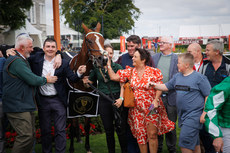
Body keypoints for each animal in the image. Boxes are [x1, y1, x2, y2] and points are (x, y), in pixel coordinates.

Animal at [67, 22, 105, 153]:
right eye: (89, 40)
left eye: (103, 40)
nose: (102, 59)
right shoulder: (72, 100)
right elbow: (73, 125)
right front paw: (71, 148)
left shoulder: (90, 101)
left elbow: (87, 125)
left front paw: (87, 146)